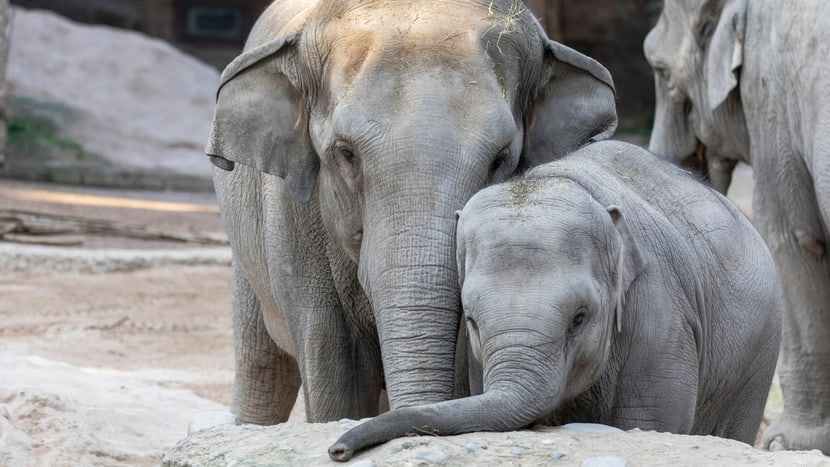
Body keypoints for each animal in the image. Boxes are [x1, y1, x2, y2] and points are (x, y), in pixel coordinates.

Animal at [328, 141, 784, 462]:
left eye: (580, 317)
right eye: (470, 320)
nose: (337, 450)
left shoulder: (660, 321)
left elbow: (647, 422)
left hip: (757, 357)